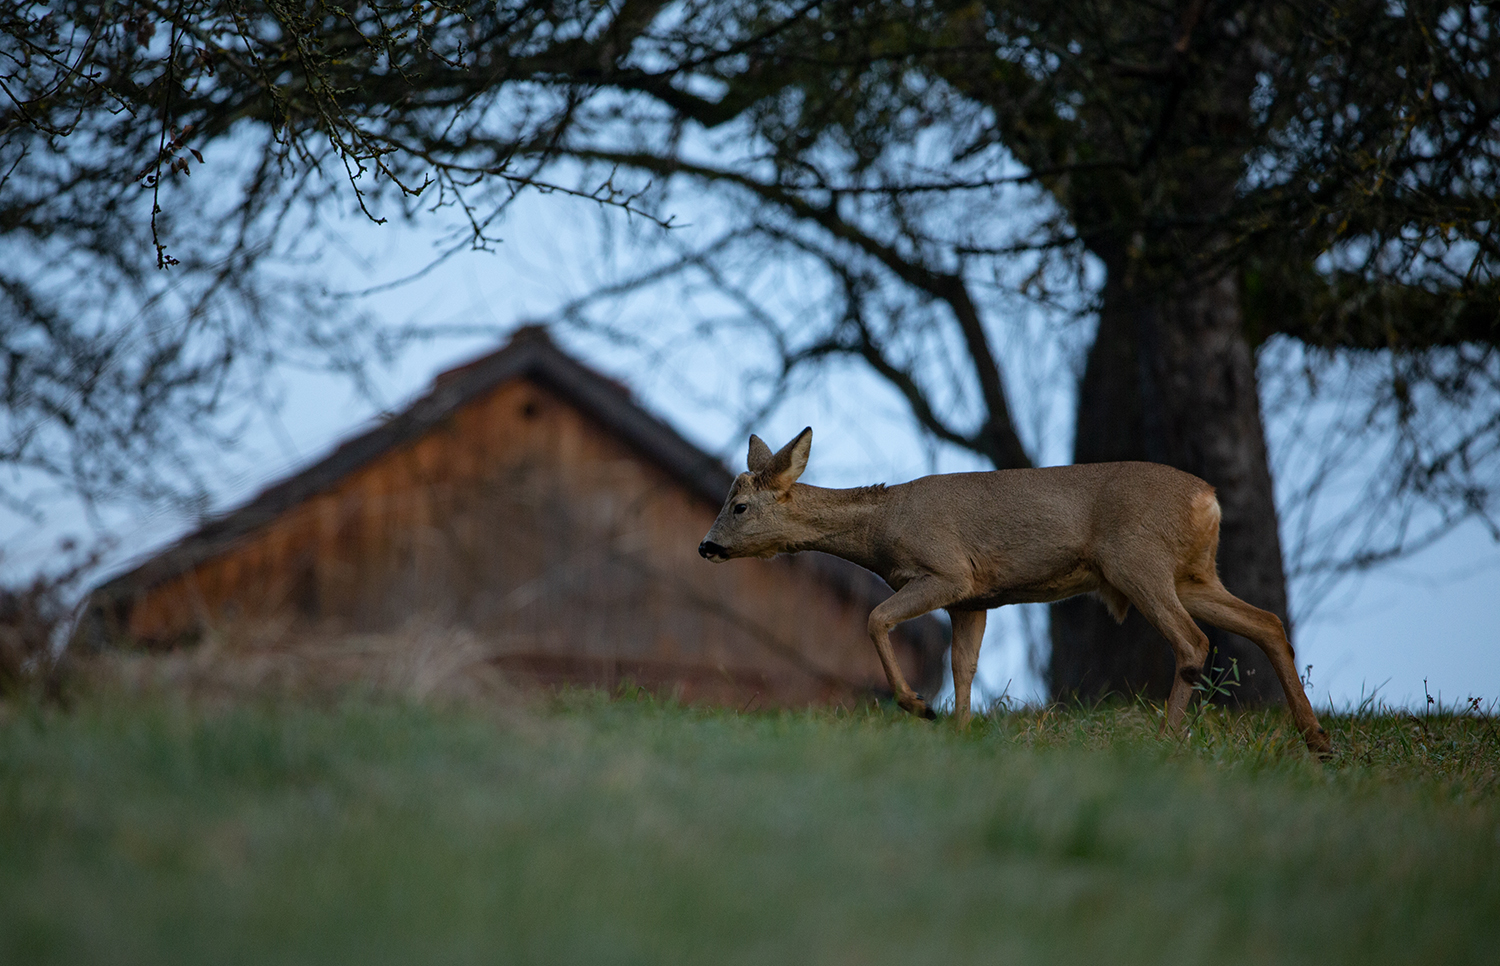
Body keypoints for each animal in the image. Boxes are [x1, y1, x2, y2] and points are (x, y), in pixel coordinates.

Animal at [696, 426, 1332, 759]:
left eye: (739, 506)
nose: (706, 546)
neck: (882, 531)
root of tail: (1210, 500)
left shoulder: (947, 570)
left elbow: (876, 618)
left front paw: (918, 708)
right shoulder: (973, 599)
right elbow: (964, 666)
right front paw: (959, 731)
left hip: (1137, 560)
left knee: (1193, 641)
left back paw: (1165, 742)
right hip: (1193, 573)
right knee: (1267, 622)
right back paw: (1318, 740)